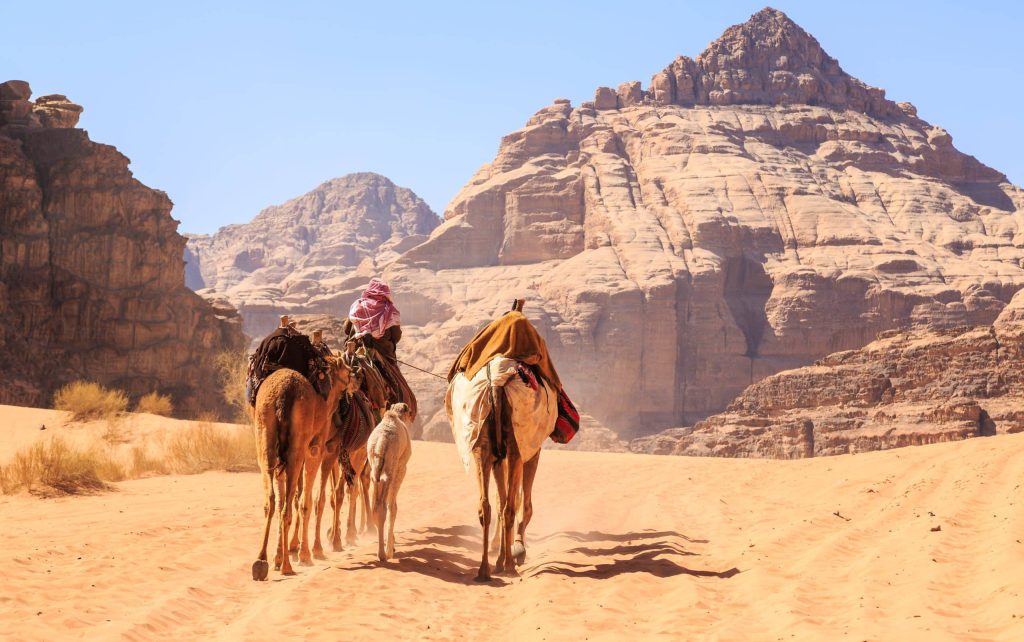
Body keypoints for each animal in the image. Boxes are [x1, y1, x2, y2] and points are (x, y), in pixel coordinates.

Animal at [251, 354, 356, 580]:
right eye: (346, 369)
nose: (357, 378)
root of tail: (283, 394)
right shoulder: (316, 449)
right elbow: (309, 501)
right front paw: (307, 554)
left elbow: (290, 499)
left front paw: (279, 556)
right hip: (297, 449)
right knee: (289, 506)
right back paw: (287, 566)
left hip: (264, 440)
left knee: (272, 501)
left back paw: (261, 561)